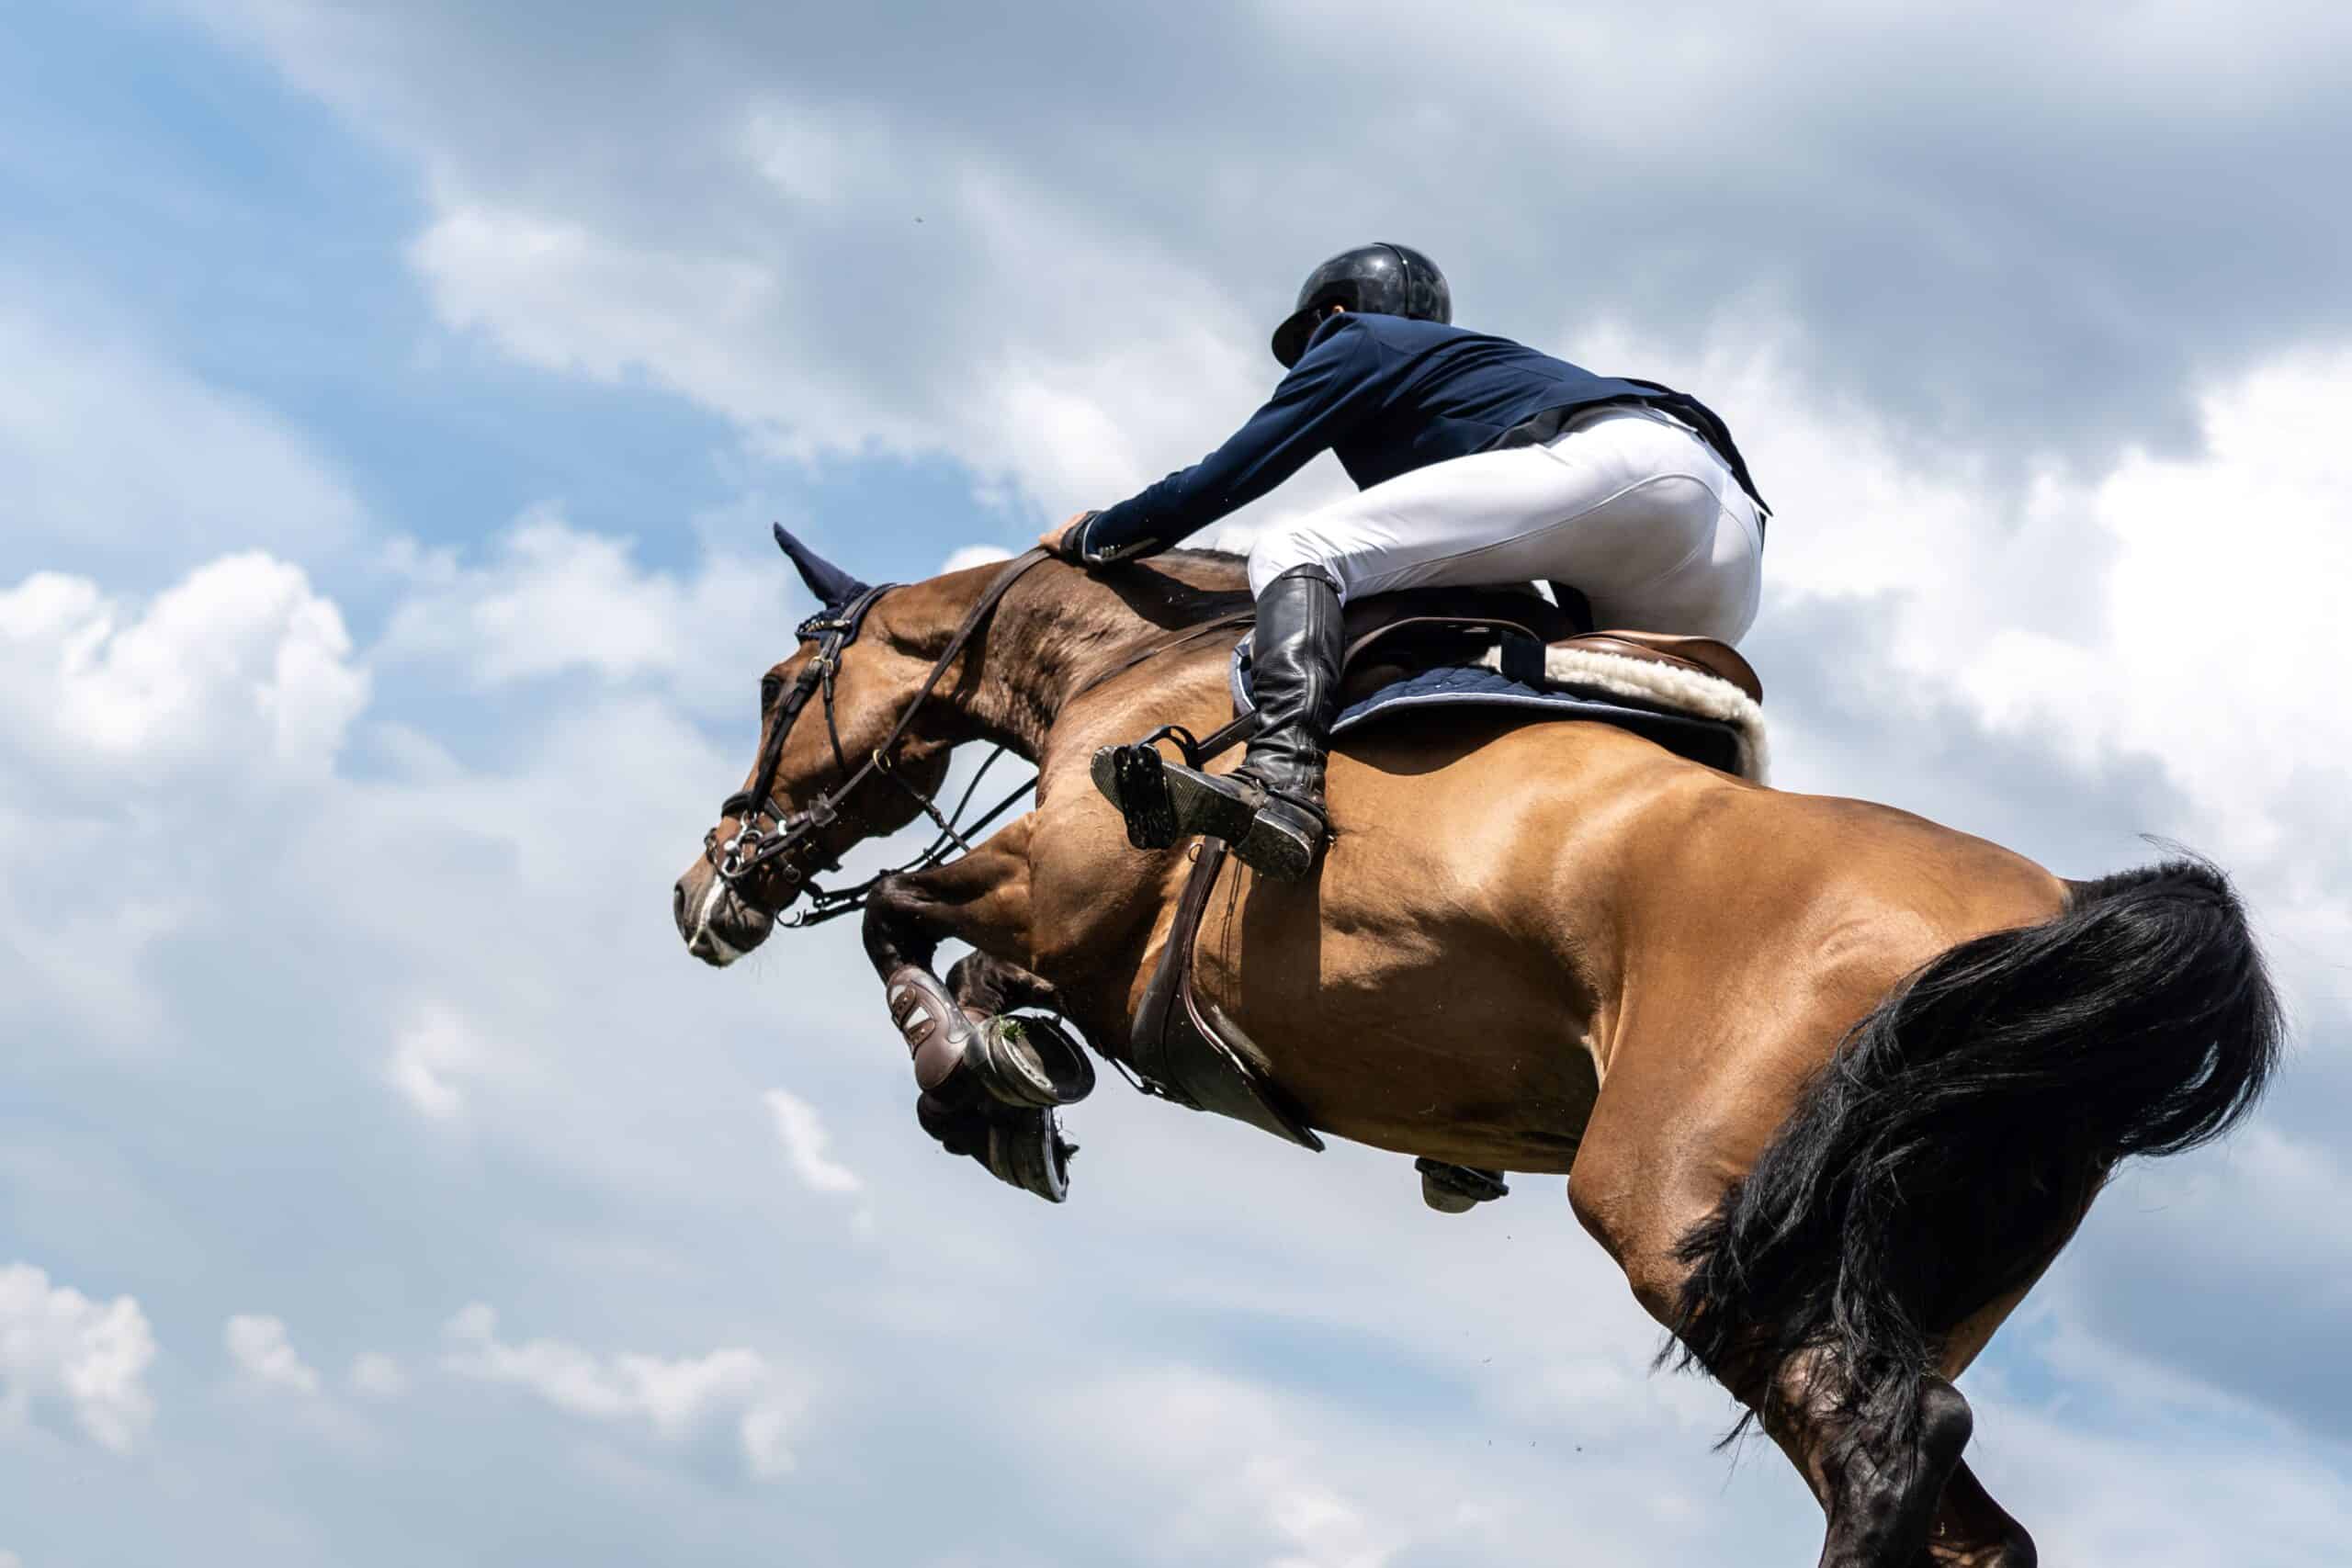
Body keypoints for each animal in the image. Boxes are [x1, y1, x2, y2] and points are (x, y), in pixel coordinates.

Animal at [677, 533, 2277, 1561]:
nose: (706, 885)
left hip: (1679, 1221)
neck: (1136, 659)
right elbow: (978, 966)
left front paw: (977, 1085)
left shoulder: (1064, 889)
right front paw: (1019, 1072)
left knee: (1888, 1450)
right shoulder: (1084, 943)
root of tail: (2059, 907)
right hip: (1898, 1258)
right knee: (1963, 1516)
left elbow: (898, 915)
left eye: (772, 691)